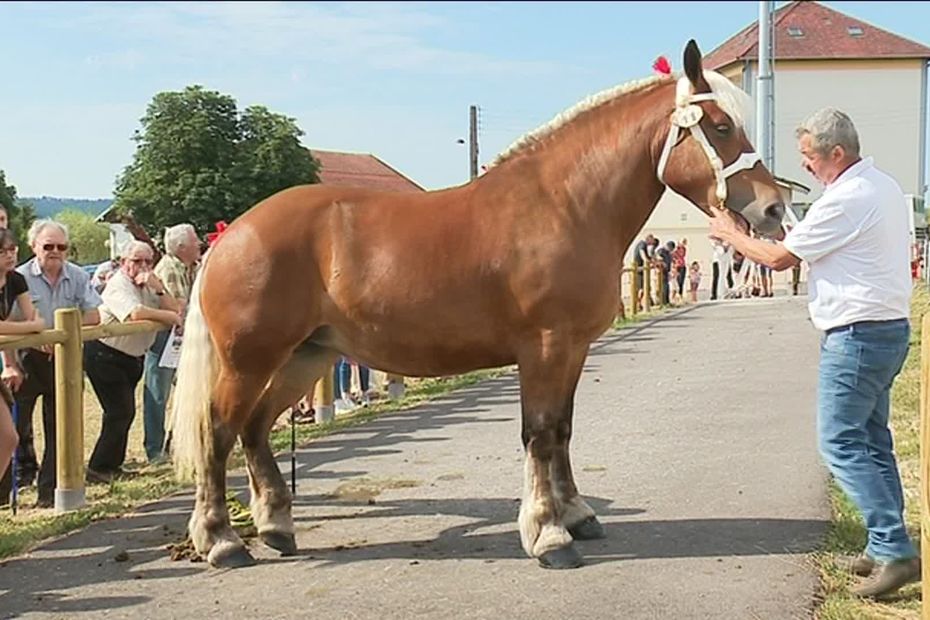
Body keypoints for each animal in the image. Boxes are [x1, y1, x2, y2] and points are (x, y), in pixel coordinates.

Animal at [172, 41, 784, 568]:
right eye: (722, 127)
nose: (775, 209)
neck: (564, 205)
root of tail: (232, 234)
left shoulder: (574, 349)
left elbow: (563, 429)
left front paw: (577, 514)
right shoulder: (544, 347)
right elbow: (539, 433)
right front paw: (548, 535)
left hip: (306, 356)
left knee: (254, 429)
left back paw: (276, 527)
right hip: (251, 360)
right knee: (218, 432)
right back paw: (222, 541)